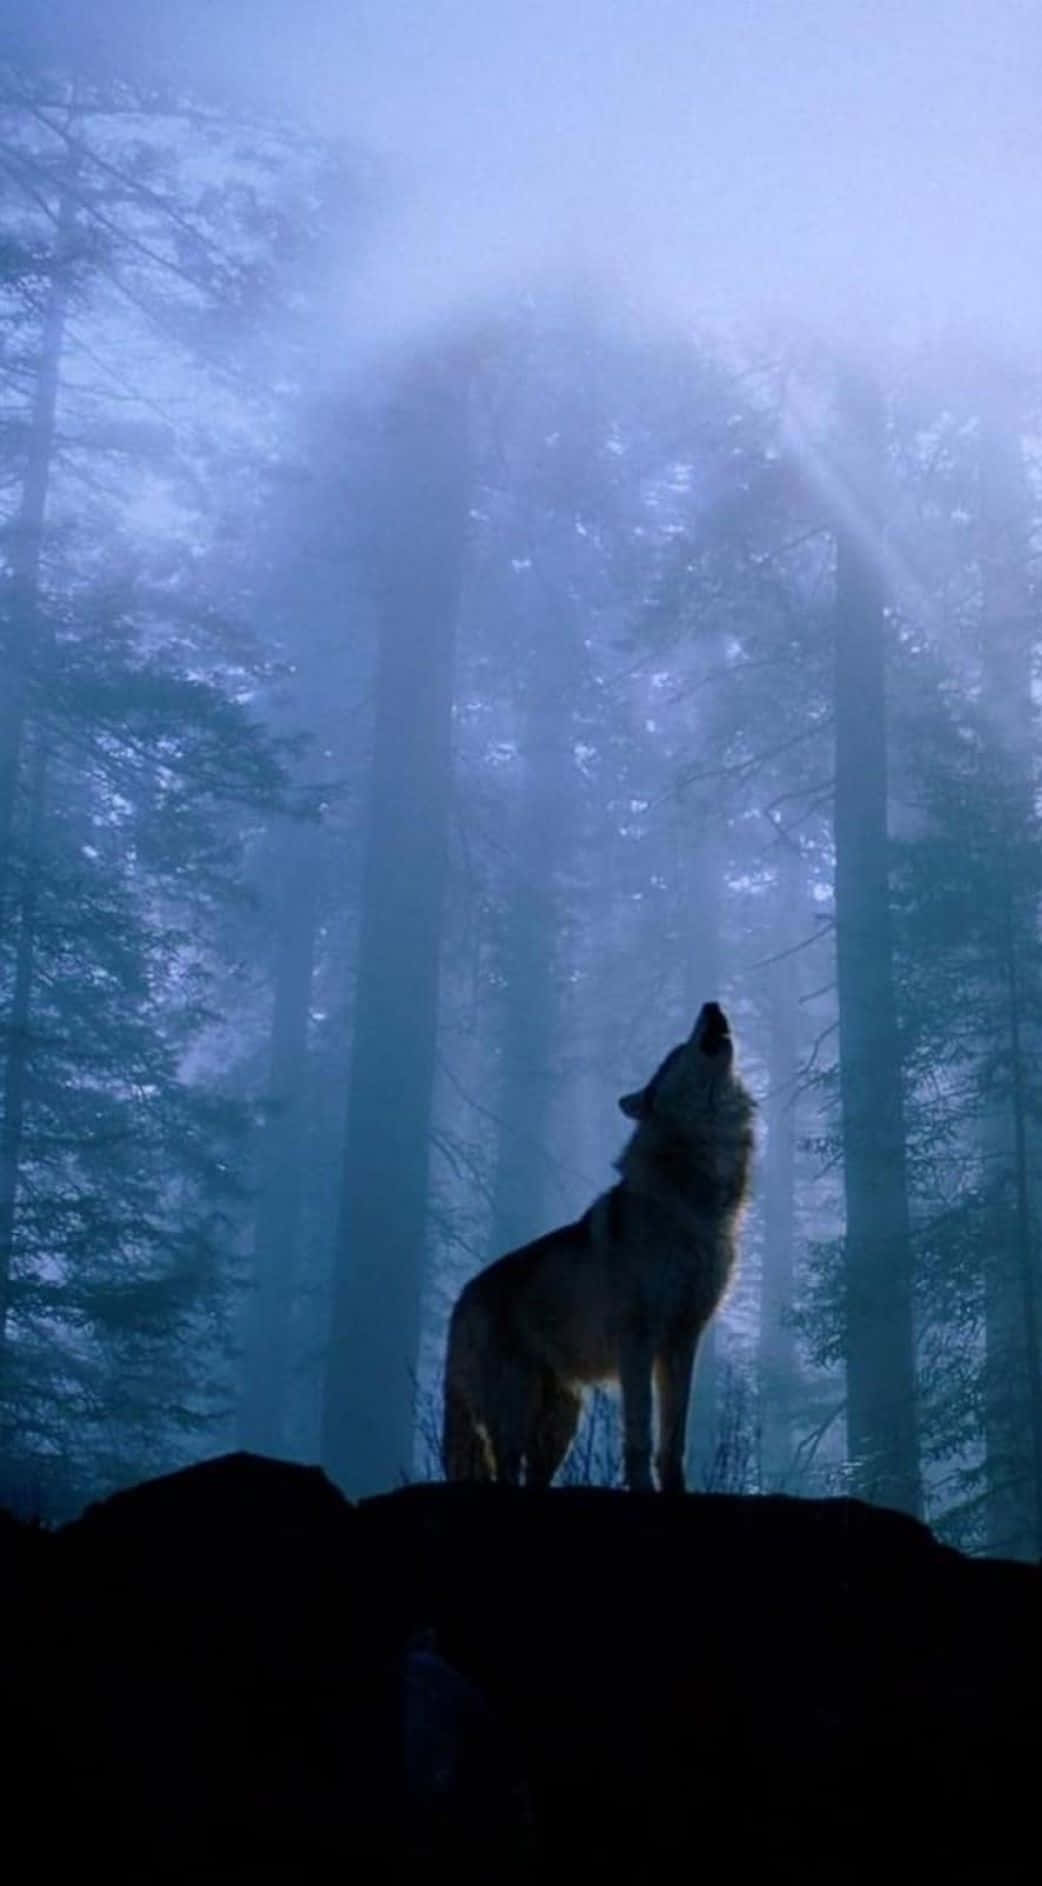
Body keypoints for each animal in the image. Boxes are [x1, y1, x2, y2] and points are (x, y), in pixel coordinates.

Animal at [442, 1001, 755, 1492]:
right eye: (676, 1051)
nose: (712, 1005)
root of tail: (461, 1298)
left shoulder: (683, 1340)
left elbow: (674, 1440)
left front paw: (676, 1491)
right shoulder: (637, 1343)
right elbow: (640, 1436)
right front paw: (643, 1489)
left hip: (561, 1423)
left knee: (534, 1477)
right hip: (514, 1412)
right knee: (506, 1471)